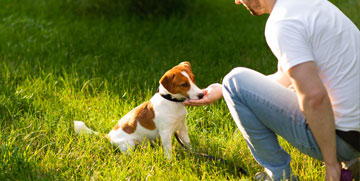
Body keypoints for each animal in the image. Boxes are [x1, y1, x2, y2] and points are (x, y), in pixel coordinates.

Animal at [74, 61, 202, 158]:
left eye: (193, 79)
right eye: (184, 84)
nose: (201, 95)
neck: (172, 101)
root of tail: (109, 136)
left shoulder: (182, 128)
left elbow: (187, 143)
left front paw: (194, 153)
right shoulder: (166, 132)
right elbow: (168, 150)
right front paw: (170, 162)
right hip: (128, 144)